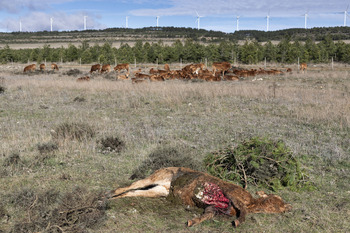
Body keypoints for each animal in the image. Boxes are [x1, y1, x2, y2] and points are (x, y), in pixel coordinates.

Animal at [110, 167, 292, 228]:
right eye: (279, 200)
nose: (289, 207)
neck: (252, 202)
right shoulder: (232, 194)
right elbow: (243, 212)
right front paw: (237, 222)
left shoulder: (214, 208)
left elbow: (207, 215)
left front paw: (191, 222)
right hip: (158, 176)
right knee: (132, 185)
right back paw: (110, 193)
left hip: (158, 191)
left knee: (133, 192)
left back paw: (113, 198)